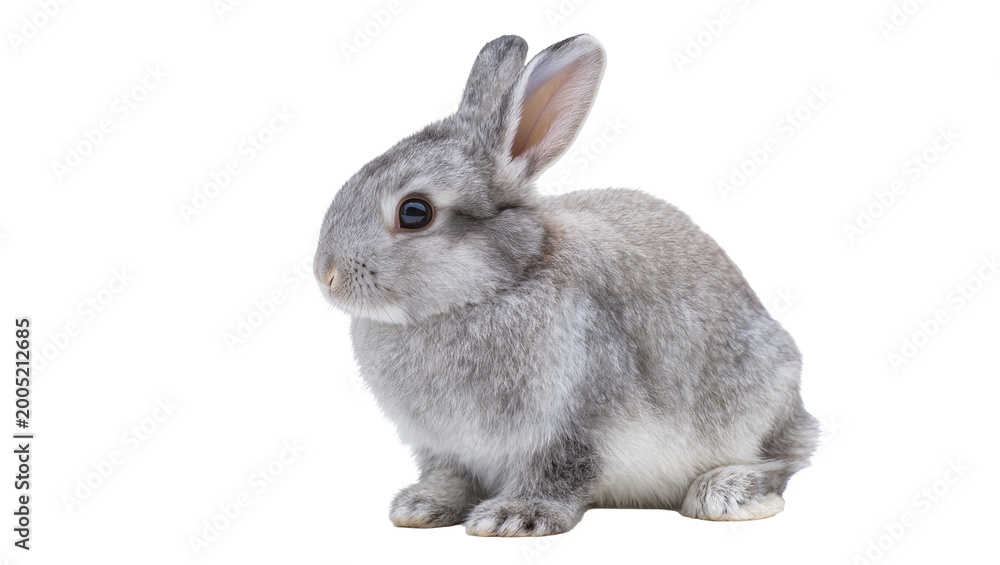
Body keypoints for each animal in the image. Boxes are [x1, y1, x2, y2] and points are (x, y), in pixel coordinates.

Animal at [313, 34, 819, 537]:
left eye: (415, 212)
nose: (326, 276)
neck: (496, 287)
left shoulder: (578, 425)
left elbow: (559, 473)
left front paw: (512, 516)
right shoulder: (446, 449)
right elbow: (449, 477)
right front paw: (420, 508)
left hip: (762, 399)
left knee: (785, 461)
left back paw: (726, 492)